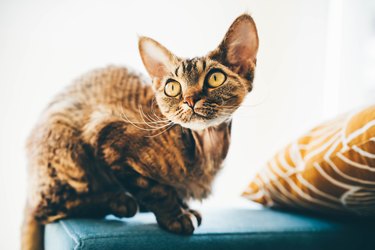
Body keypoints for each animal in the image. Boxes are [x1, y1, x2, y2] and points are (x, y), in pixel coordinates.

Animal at [21, 14, 258, 250]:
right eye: (172, 87)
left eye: (215, 78)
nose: (190, 100)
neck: (206, 150)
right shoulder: (109, 138)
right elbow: (157, 191)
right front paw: (175, 217)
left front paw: (184, 207)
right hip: (66, 139)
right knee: (48, 208)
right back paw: (119, 201)